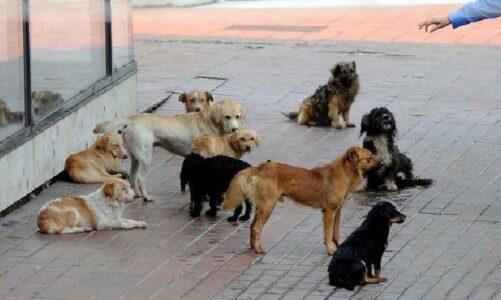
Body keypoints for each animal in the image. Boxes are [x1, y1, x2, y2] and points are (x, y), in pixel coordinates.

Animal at [94, 99, 246, 202]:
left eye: (237, 117)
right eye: (227, 117)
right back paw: (146, 197)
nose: (235, 129)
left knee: (132, 176)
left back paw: (136, 194)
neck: (210, 122)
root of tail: (132, 119)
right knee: (141, 179)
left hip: (135, 157)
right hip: (146, 158)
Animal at [222, 146, 378, 254]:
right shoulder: (329, 211)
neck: (345, 172)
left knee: (252, 226)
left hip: (262, 207)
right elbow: (328, 232)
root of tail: (260, 168)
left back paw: (253, 246)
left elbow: (336, 231)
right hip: (268, 206)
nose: (381, 161)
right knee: (256, 228)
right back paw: (259, 249)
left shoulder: (337, 210)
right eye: (369, 157)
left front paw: (338, 245)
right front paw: (330, 249)